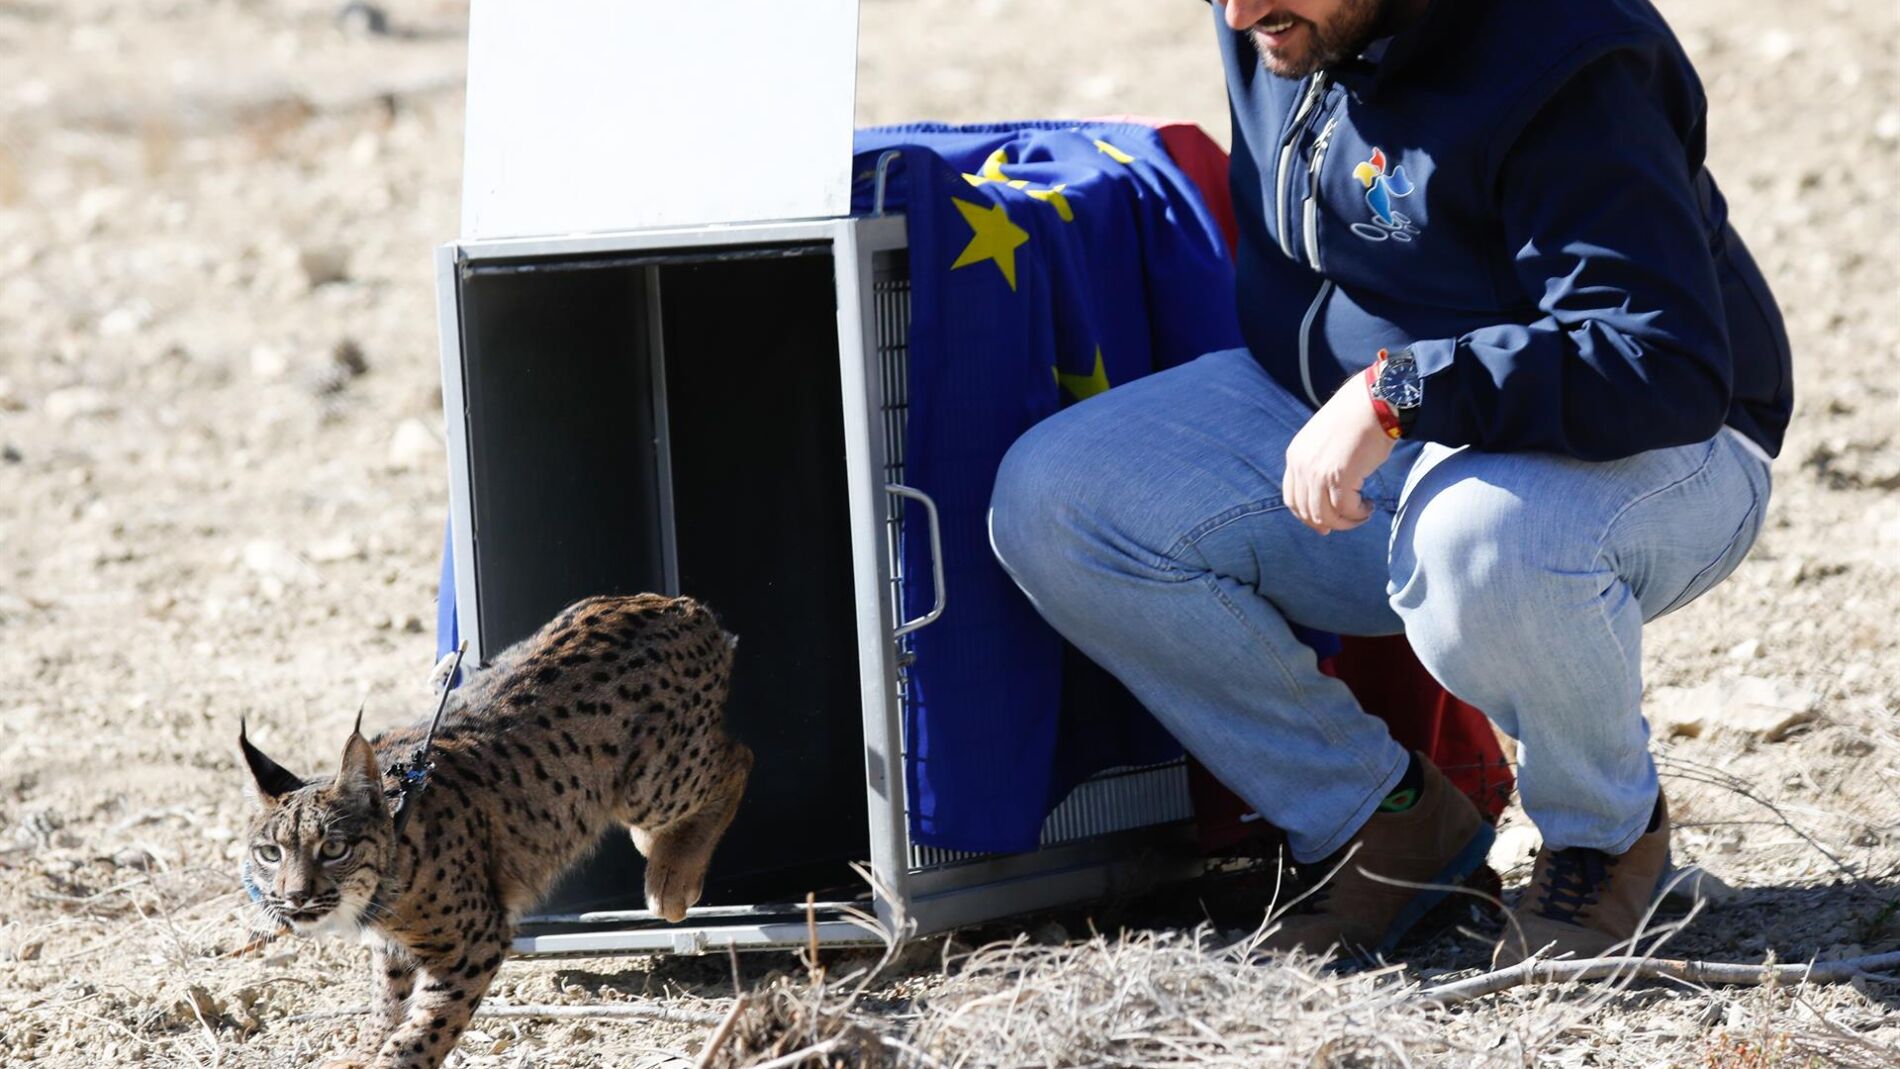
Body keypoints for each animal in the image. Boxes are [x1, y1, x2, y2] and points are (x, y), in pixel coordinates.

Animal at [237, 593, 753, 1069]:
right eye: (269, 853)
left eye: (334, 849)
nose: (295, 897)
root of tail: (677, 603)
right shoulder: (393, 950)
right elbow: (386, 1007)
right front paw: (361, 1053)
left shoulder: (475, 942)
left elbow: (422, 1032)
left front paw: (391, 1057)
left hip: (651, 785)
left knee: (738, 757)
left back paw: (672, 880)